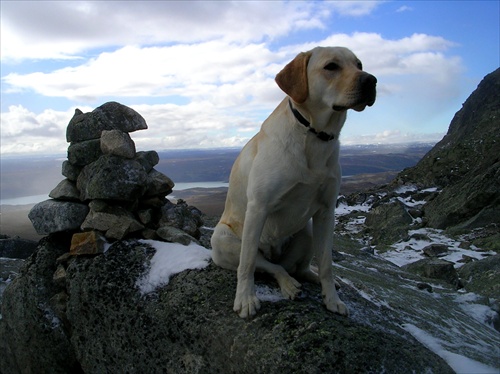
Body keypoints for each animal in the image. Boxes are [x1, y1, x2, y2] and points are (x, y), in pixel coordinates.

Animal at [209, 45, 376, 318]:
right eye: (331, 66)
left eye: (359, 64)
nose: (371, 80)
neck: (314, 135)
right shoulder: (258, 208)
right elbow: (247, 264)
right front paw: (245, 298)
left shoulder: (326, 212)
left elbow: (327, 263)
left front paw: (332, 298)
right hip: (222, 239)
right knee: (269, 267)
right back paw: (287, 285)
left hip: (306, 228)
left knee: (295, 268)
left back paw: (308, 278)